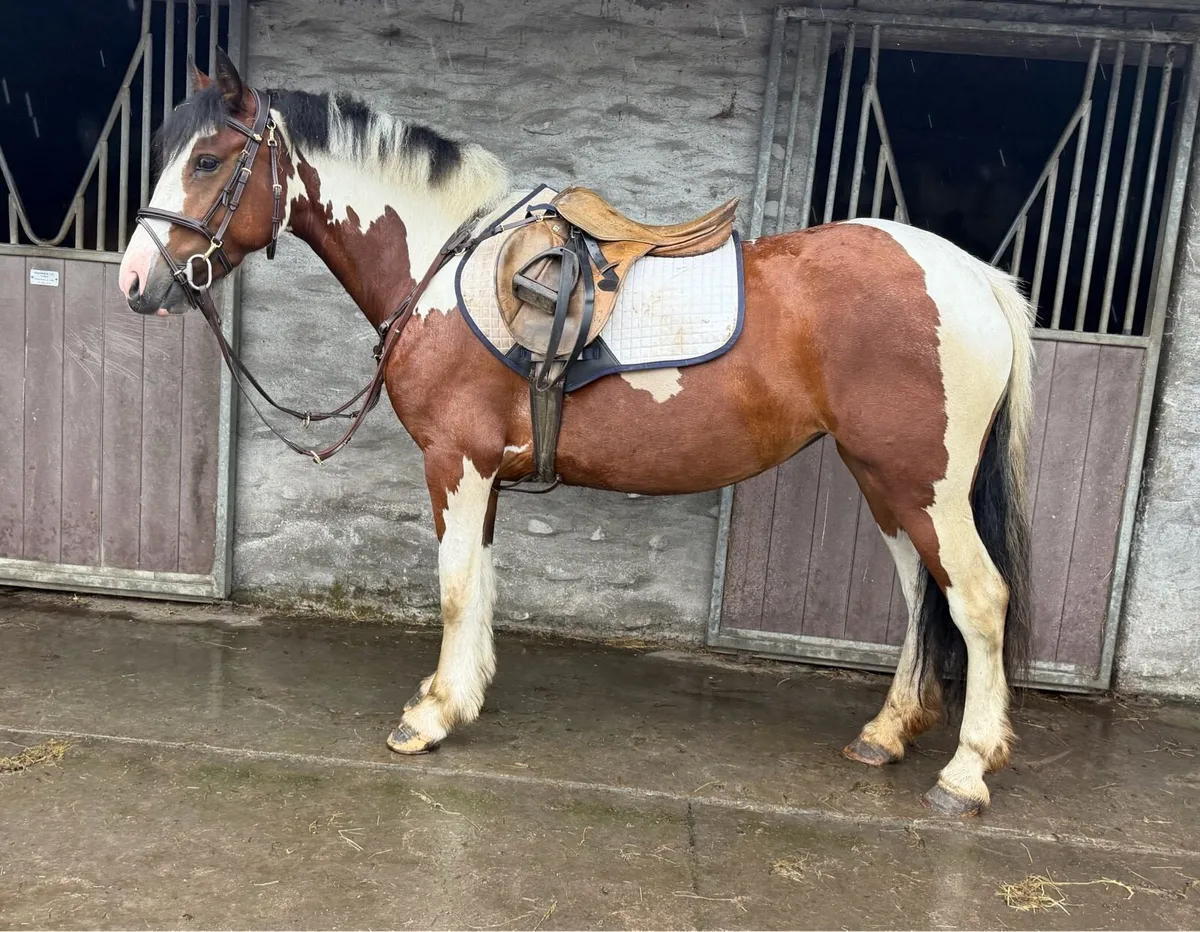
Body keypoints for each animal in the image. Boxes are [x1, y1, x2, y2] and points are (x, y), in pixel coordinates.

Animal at [117, 50, 1034, 818]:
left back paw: (965, 772)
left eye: (207, 161)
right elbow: (481, 584)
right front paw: (459, 694)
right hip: (887, 480)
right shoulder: (484, 474)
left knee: (979, 599)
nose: (134, 282)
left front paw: (431, 718)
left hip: (923, 483)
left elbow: (455, 587)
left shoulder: (455, 464)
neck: (442, 269)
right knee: (921, 596)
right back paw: (886, 733)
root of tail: (973, 278)